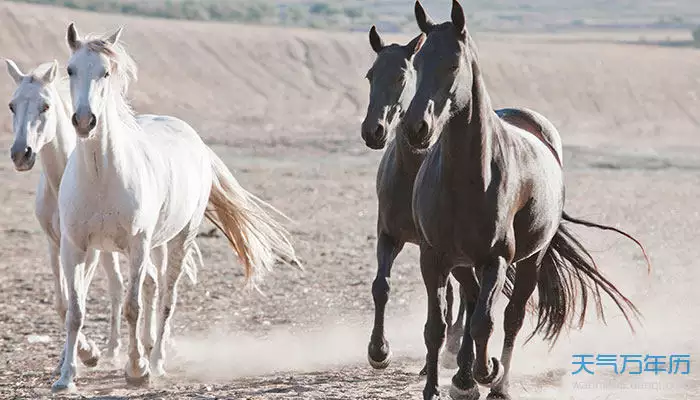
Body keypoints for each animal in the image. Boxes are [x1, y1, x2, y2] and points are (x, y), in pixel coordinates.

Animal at [4, 60, 200, 376]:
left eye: (45, 106)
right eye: (12, 105)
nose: (21, 154)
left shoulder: (91, 250)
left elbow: (81, 296)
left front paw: (86, 354)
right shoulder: (56, 244)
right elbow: (64, 303)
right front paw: (72, 358)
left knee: (157, 286)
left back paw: (152, 351)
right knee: (145, 284)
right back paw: (136, 347)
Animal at [52, 23, 298, 392]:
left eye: (105, 72)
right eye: (70, 69)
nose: (84, 120)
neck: (100, 175)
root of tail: (194, 139)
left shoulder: (136, 245)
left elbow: (133, 307)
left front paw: (137, 370)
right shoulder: (75, 247)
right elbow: (76, 311)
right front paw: (66, 377)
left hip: (179, 239)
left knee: (167, 296)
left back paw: (156, 360)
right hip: (156, 243)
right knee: (154, 287)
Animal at [402, 1, 652, 398]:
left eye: (453, 64)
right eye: (419, 62)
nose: (416, 128)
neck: (466, 179)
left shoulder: (496, 259)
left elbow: (486, 322)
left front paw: (487, 371)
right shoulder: (435, 258)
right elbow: (436, 327)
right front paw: (437, 387)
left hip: (531, 258)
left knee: (511, 316)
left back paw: (497, 383)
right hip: (464, 263)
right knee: (472, 303)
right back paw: (464, 379)